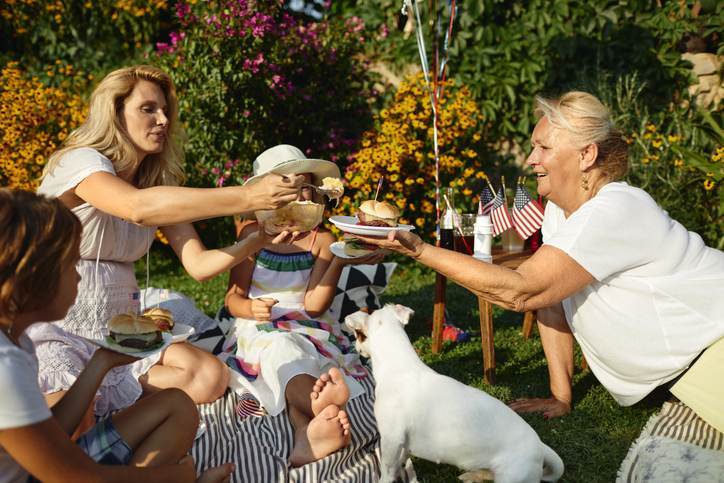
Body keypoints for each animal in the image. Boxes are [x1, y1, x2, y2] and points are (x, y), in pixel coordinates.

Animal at [346, 306, 564, 483]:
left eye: (358, 335)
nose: (355, 348)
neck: (400, 364)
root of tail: (540, 446)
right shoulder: (402, 444)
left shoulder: (391, 439)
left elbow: (387, 471)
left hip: (511, 477)